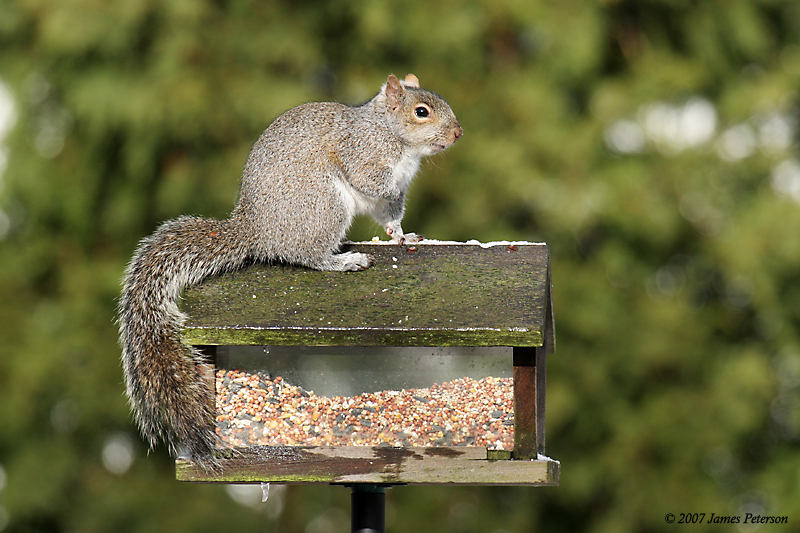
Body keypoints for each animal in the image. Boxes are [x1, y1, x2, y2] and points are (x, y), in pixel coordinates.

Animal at [115, 72, 460, 464]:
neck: (394, 136)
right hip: (324, 205)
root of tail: (257, 231)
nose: (457, 133)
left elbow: (390, 216)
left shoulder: (389, 197)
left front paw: (402, 236)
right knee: (311, 257)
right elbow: (371, 183)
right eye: (422, 112)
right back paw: (345, 260)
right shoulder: (363, 155)